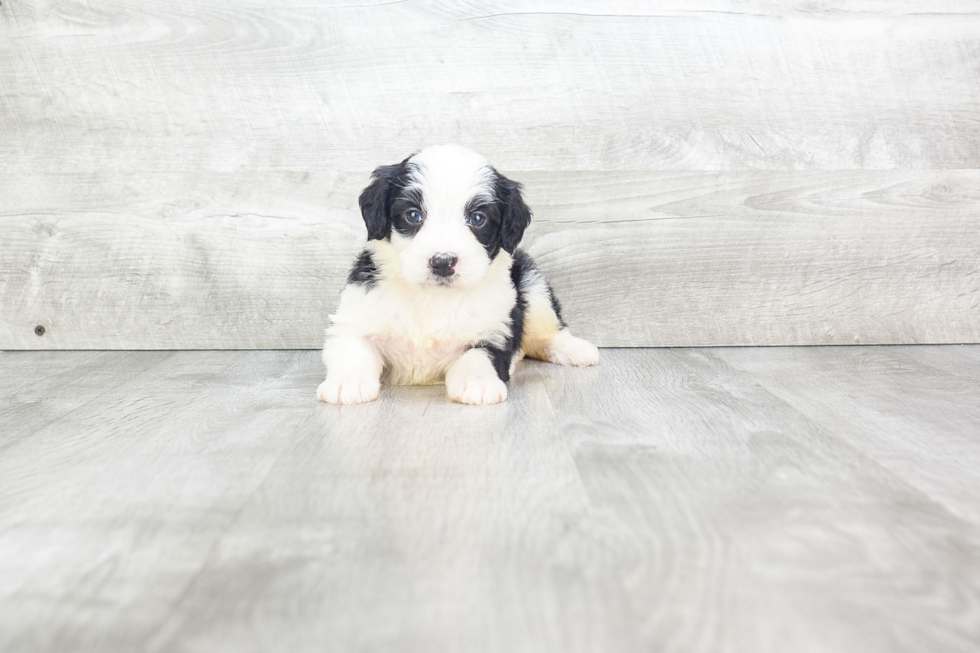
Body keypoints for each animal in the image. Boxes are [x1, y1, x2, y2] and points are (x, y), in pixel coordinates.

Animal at [318, 145, 600, 404]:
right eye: (413, 215)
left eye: (477, 218)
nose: (443, 262)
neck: (431, 298)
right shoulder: (356, 316)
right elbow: (353, 349)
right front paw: (347, 383)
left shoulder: (497, 328)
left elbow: (478, 355)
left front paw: (478, 383)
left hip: (533, 285)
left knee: (547, 332)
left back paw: (577, 349)